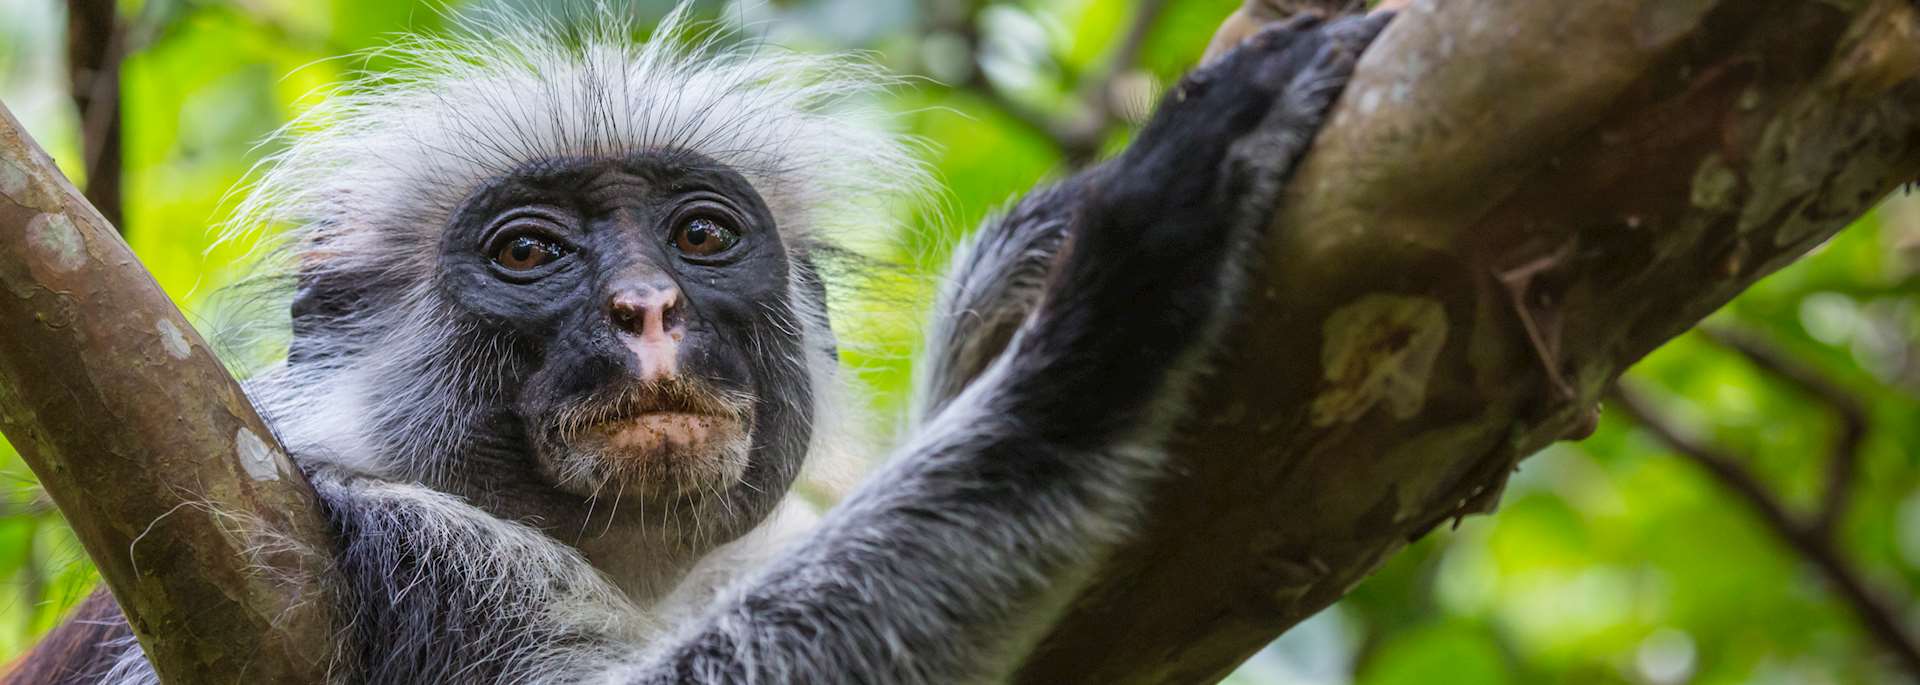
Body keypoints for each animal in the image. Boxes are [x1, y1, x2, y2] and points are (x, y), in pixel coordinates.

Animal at [6, 7, 1391, 684]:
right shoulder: (400, 544)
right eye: (529, 253)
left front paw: (1011, 292)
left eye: (703, 236)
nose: (647, 309)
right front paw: (1112, 299)